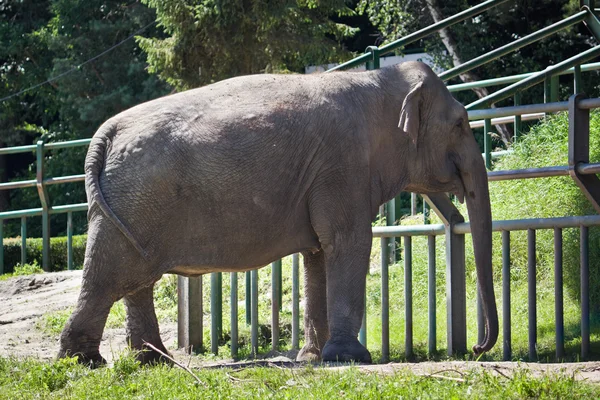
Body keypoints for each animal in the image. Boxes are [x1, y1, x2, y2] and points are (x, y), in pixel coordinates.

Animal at [57, 60, 496, 366]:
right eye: (461, 123)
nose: (476, 348)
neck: (378, 79)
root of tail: (106, 132)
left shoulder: (326, 175)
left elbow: (319, 252)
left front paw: (315, 358)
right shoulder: (343, 164)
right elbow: (348, 241)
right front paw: (352, 358)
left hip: (134, 205)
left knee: (136, 279)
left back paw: (152, 362)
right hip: (138, 200)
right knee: (110, 277)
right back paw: (87, 363)